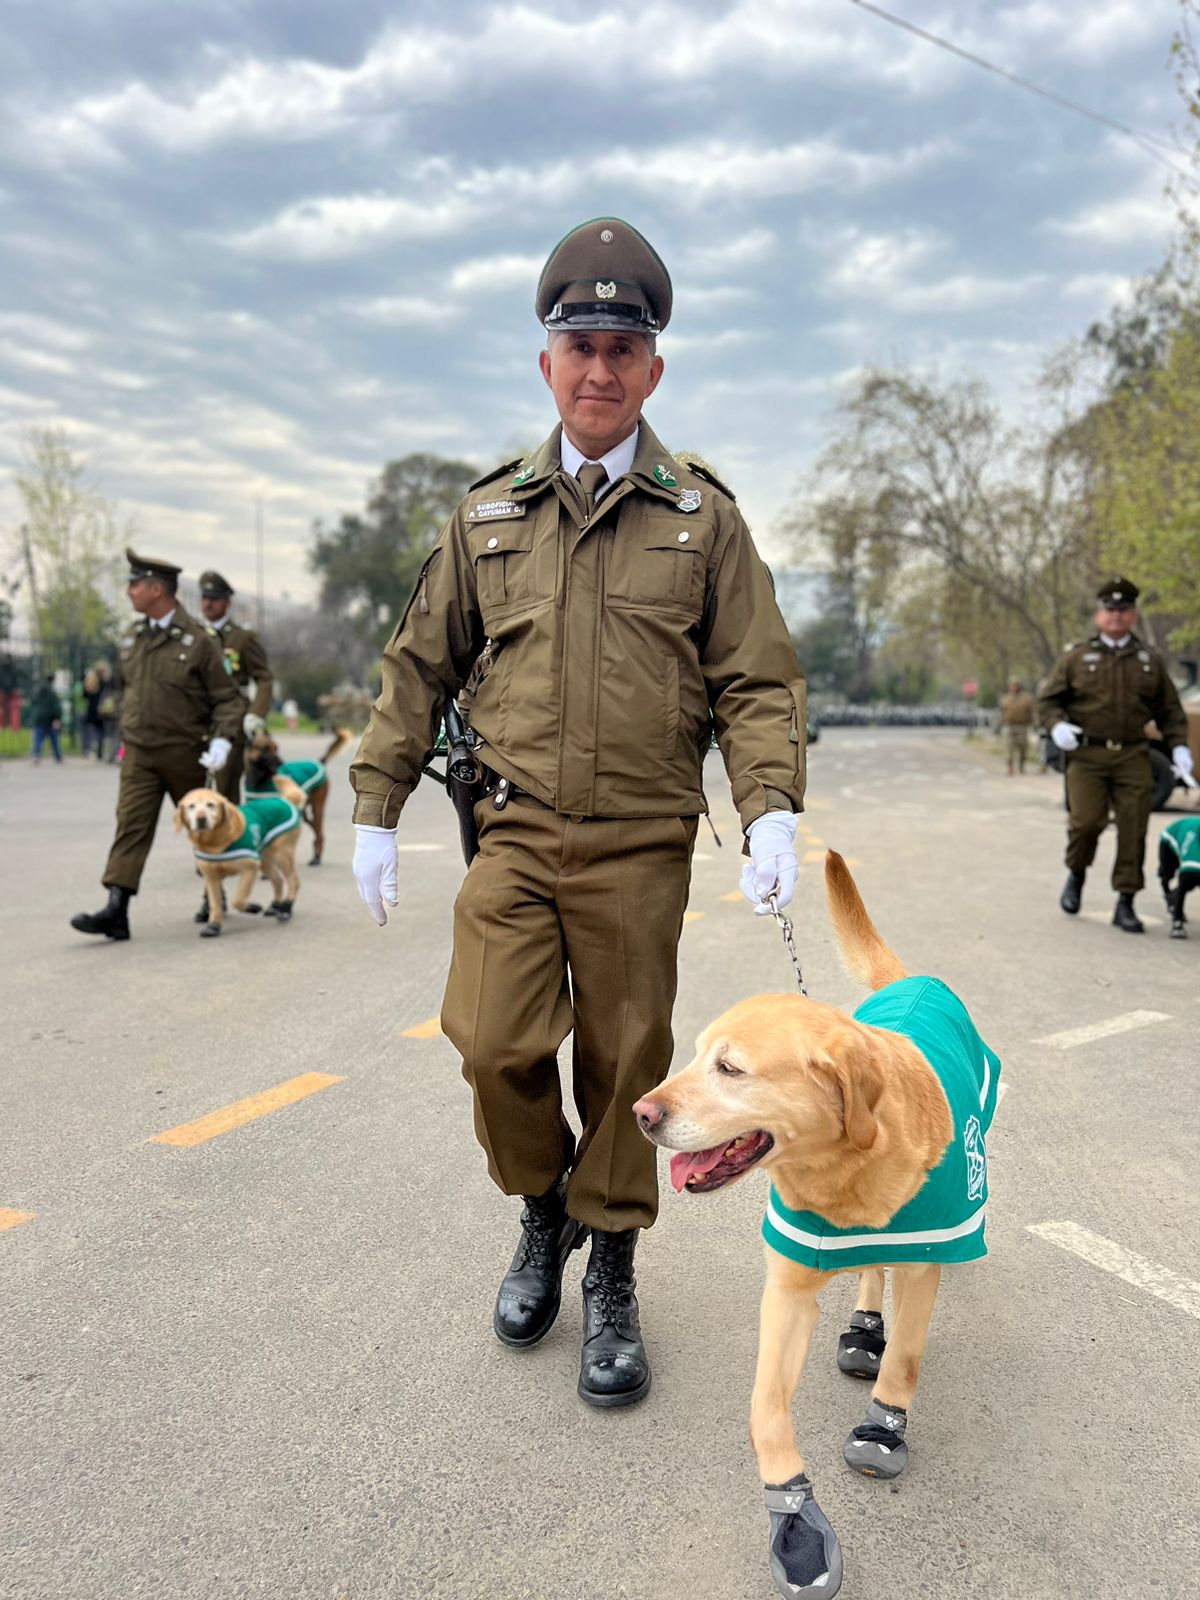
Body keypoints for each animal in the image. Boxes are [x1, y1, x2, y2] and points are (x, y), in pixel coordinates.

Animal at [175, 790, 302, 934]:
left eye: (210, 804)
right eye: (191, 806)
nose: (201, 819)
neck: (214, 844)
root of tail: (285, 800)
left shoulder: (250, 868)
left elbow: (238, 900)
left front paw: (252, 907)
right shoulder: (211, 877)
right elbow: (215, 903)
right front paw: (214, 925)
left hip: (282, 854)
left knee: (293, 881)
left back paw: (286, 909)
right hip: (264, 860)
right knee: (278, 880)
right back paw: (275, 906)